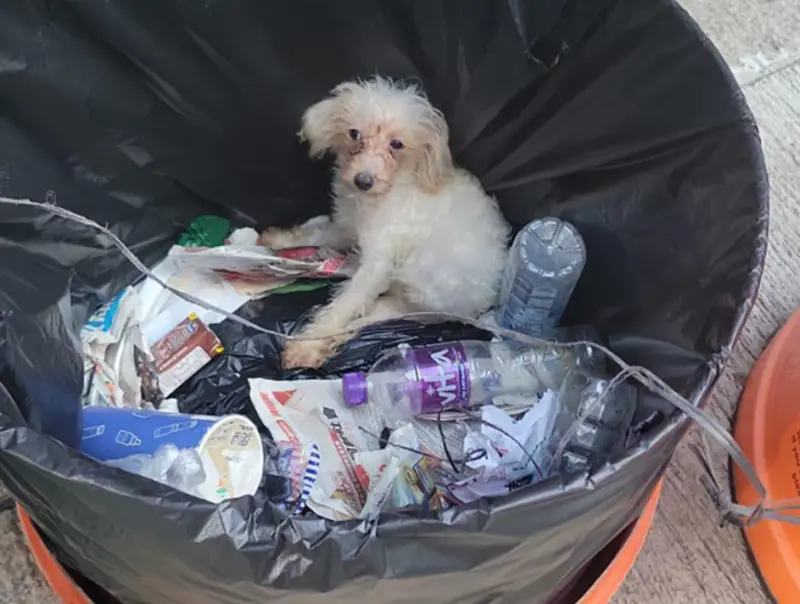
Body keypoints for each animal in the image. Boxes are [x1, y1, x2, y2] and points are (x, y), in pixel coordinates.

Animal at [262, 75, 512, 368]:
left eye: (397, 144)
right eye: (354, 134)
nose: (363, 181)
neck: (381, 195)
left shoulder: (378, 262)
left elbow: (344, 305)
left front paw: (309, 346)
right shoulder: (349, 227)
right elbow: (316, 234)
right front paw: (278, 239)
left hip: (423, 271)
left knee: (390, 312)